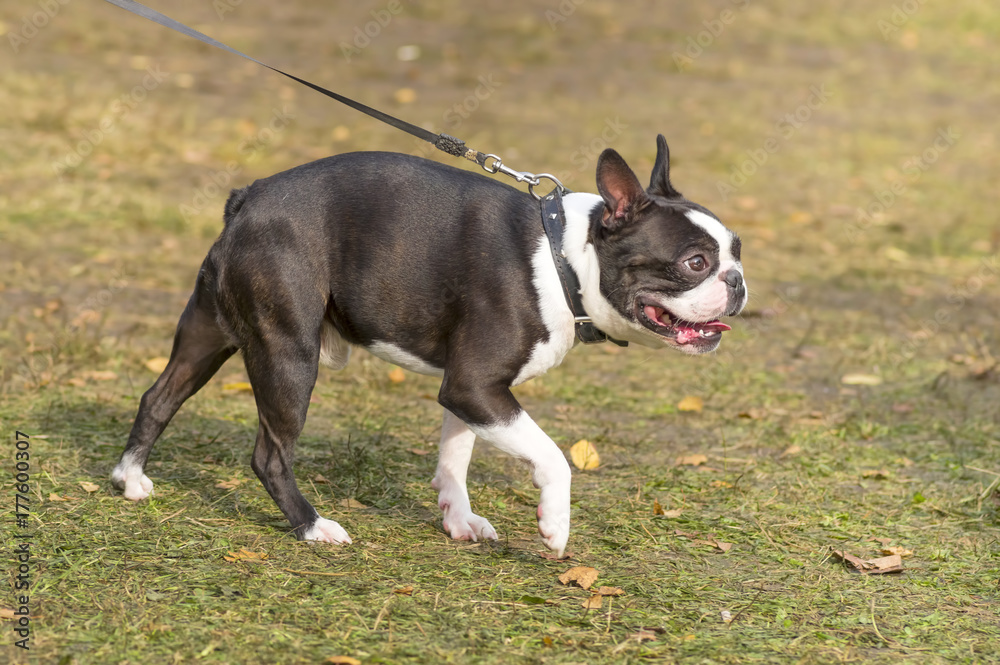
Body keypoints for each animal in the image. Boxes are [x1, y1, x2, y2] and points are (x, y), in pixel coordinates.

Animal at [113, 135, 748, 556]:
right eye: (695, 262)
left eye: (737, 250)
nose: (738, 281)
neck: (563, 257)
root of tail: (247, 199)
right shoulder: (476, 384)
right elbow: (552, 457)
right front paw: (555, 525)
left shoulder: (472, 389)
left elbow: (455, 455)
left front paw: (458, 518)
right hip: (288, 352)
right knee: (269, 453)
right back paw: (313, 527)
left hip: (208, 331)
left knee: (158, 396)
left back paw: (130, 477)